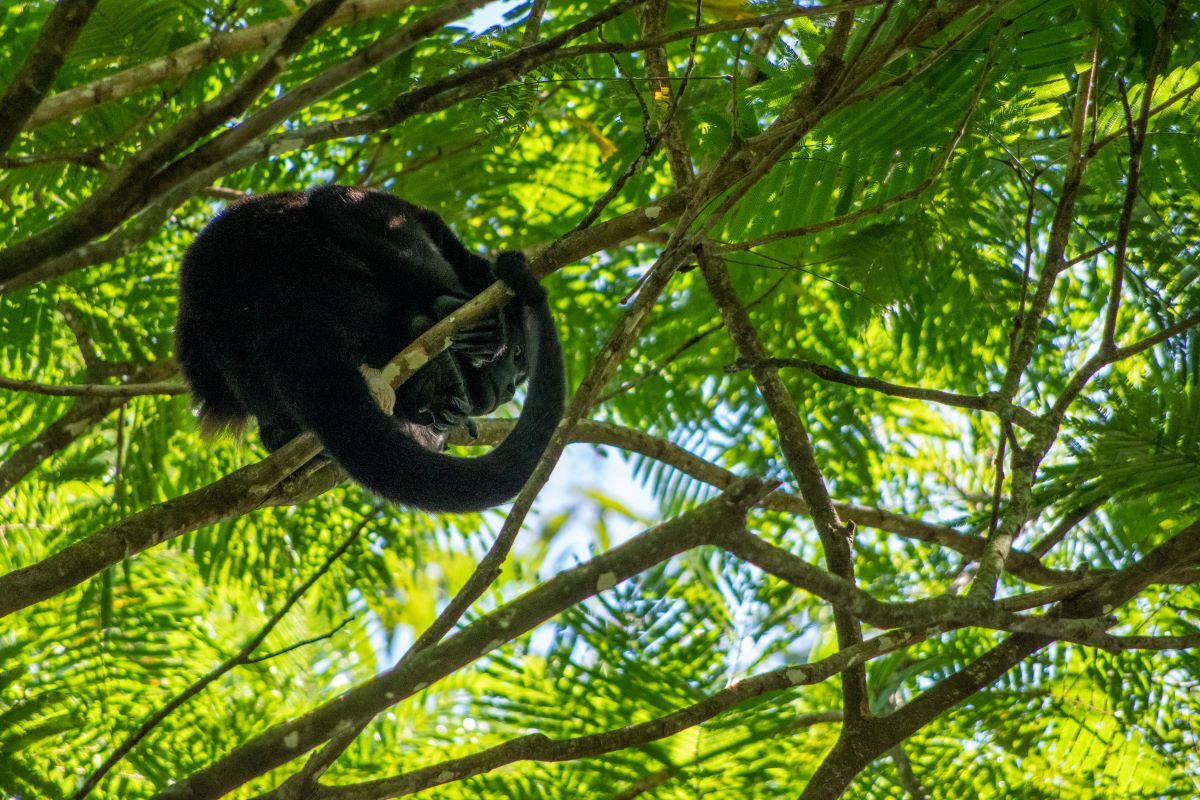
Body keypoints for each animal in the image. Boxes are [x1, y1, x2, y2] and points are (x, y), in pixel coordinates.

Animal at [173, 185, 564, 512]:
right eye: (517, 357)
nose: (510, 387)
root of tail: (272, 306)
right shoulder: (425, 224)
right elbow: (340, 203)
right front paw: (464, 315)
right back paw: (438, 326)